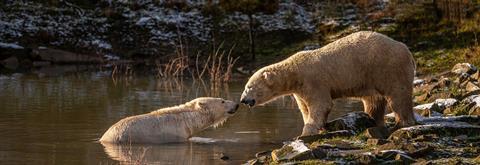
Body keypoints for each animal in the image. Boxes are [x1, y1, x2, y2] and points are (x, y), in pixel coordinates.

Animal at [240, 31, 416, 136]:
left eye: (249, 87)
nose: (243, 100)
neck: (295, 72)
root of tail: (407, 50)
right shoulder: (300, 90)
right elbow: (305, 108)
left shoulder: (313, 81)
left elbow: (321, 105)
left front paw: (306, 133)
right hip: (371, 77)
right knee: (374, 101)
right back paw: (375, 121)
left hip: (387, 67)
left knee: (398, 95)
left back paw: (402, 124)